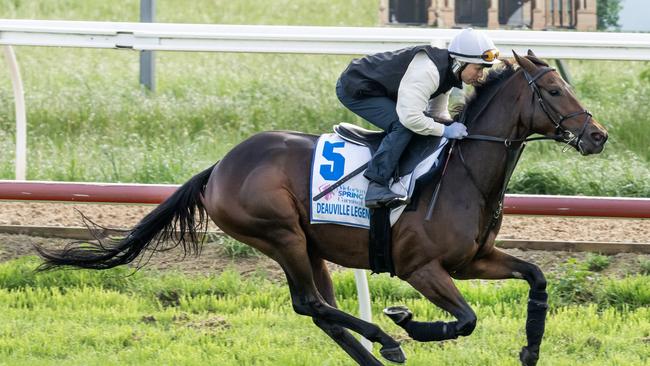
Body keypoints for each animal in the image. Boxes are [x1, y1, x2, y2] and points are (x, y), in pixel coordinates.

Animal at [38, 51, 608, 366]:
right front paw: (408, 320)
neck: (462, 172)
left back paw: (378, 353)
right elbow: (465, 320)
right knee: (310, 304)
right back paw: (387, 340)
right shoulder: (421, 268)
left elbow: (536, 276)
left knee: (323, 312)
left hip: (310, 245)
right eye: (554, 89)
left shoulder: (473, 261)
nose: (598, 135)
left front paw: (530, 349)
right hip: (280, 234)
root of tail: (219, 167)